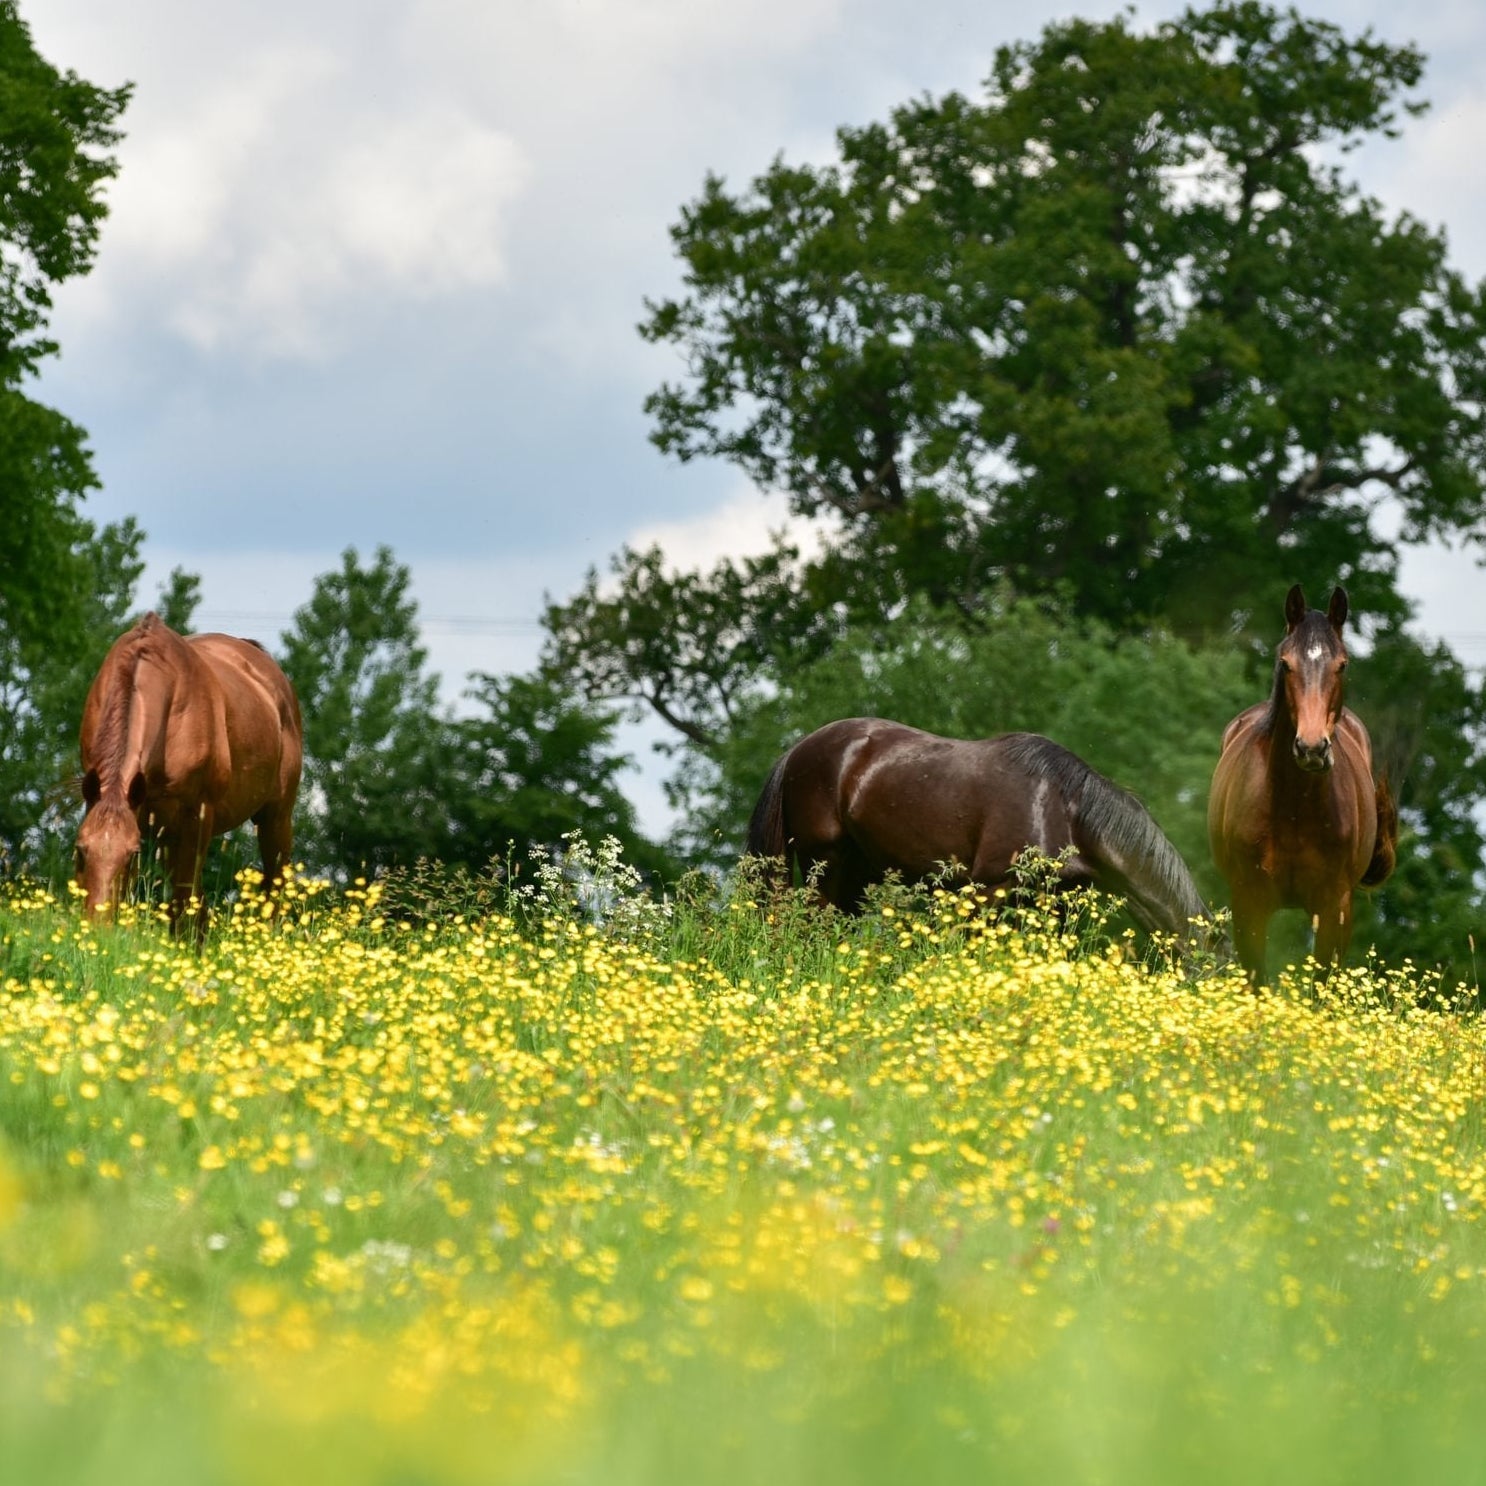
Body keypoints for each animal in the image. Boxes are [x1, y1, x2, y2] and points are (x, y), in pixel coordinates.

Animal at [76, 612, 304, 940]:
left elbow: (185, 904)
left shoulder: (196, 816)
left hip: (275, 818)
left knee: (273, 887)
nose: (97, 929)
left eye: (132, 854)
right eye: (80, 851)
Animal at [1207, 585, 1397, 984]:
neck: (1293, 807)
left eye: (1342, 664)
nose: (1312, 748)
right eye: (1286, 663)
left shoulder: (1334, 907)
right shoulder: (1249, 901)